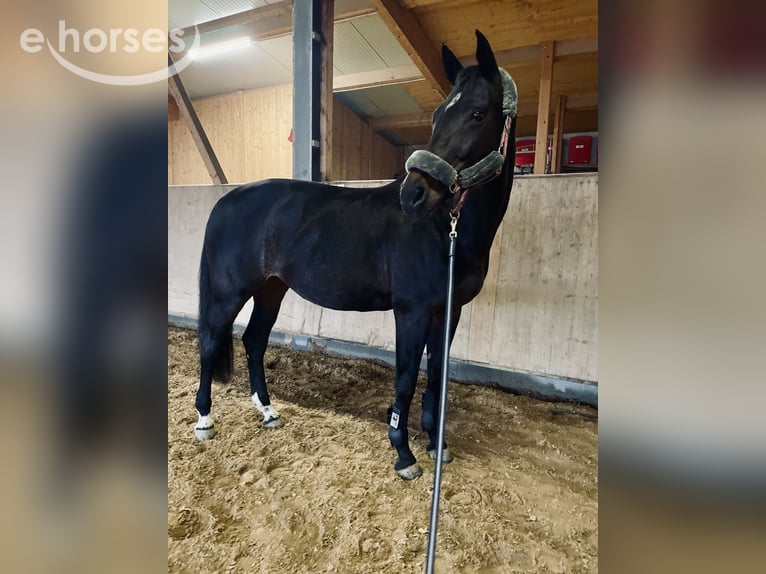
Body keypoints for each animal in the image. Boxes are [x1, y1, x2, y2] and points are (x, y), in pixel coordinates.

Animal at [193, 30, 517, 480]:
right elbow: (406, 378)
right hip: (230, 292)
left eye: (478, 113)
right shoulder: (412, 311)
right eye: (438, 115)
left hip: (271, 290)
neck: (445, 228)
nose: (414, 194)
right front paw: (404, 455)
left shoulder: (448, 311)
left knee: (254, 341)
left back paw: (269, 412)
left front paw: (437, 445)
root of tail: (227, 200)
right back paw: (205, 420)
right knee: (210, 343)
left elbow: (437, 375)